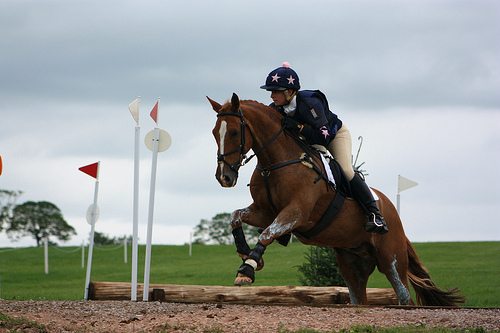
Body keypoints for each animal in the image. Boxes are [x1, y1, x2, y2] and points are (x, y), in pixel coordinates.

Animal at [207, 92, 464, 304]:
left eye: (233, 132)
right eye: (214, 133)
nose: (224, 177)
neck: (276, 162)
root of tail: (392, 212)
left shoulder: (296, 213)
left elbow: (268, 233)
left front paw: (247, 270)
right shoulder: (265, 211)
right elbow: (236, 217)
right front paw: (246, 254)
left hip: (391, 259)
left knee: (404, 296)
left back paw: (376, 219)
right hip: (352, 264)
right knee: (359, 297)